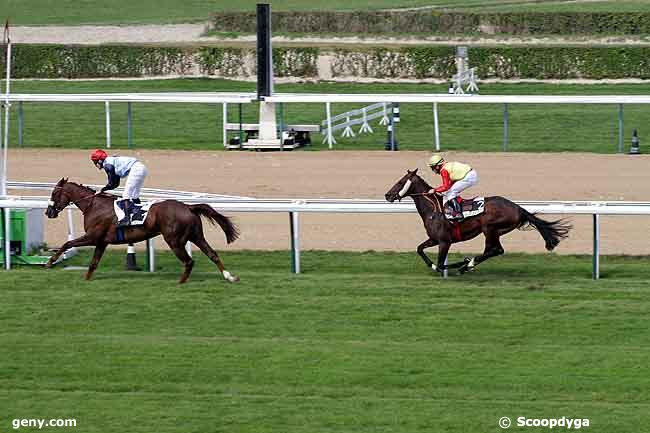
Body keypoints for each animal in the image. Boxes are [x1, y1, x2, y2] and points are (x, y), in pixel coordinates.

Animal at [45, 176, 240, 284]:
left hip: (175, 240)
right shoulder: (102, 242)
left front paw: (50, 262)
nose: (49, 212)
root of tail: (188, 207)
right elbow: (93, 263)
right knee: (212, 254)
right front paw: (85, 280)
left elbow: (67, 243)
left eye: (54, 193)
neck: (93, 205)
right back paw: (229, 277)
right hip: (196, 235)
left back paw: (181, 282)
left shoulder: (93, 237)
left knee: (189, 261)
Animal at [382, 170, 568, 276]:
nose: (387, 195)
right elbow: (420, 249)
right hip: (495, 232)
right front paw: (435, 266)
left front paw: (460, 263)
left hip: (489, 228)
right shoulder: (434, 239)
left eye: (400, 182)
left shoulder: (444, 241)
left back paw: (467, 265)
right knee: (493, 250)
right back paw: (469, 264)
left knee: (495, 250)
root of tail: (517, 207)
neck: (433, 210)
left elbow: (442, 264)